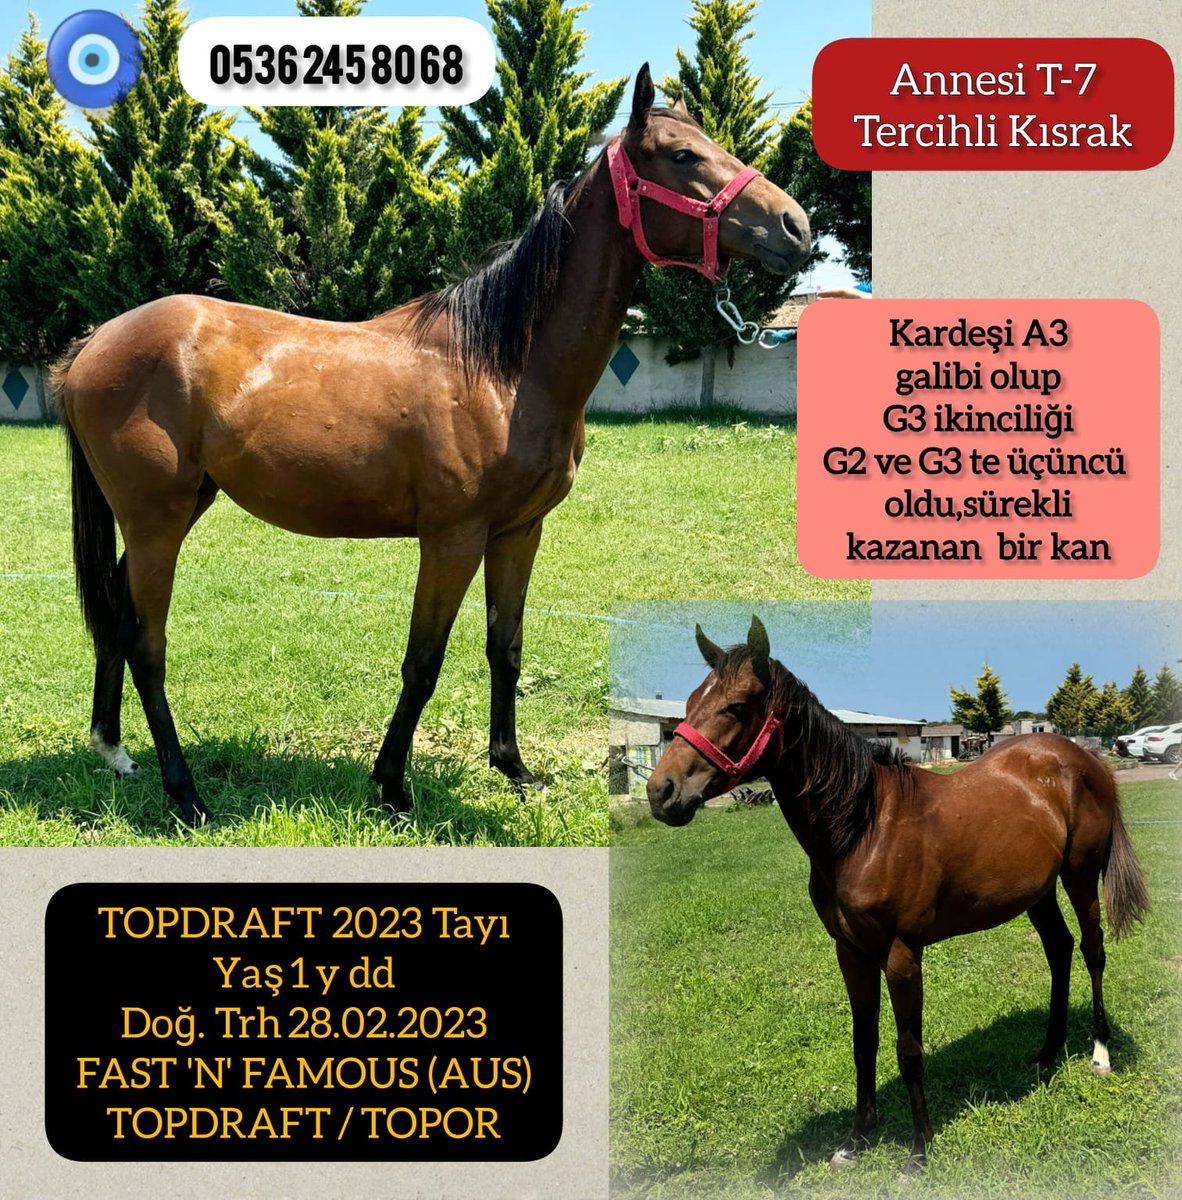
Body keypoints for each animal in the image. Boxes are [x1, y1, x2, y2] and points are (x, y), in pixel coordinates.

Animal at [50, 66, 811, 826]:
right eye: (681, 155)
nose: (795, 226)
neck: (505, 367)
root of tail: (95, 343)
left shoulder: (518, 532)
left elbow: (505, 647)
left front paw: (514, 769)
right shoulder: (452, 537)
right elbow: (424, 661)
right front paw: (391, 785)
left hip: (176, 512)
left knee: (116, 616)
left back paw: (114, 751)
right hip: (157, 522)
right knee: (147, 642)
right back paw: (185, 793)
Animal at [646, 616, 1150, 1175]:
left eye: (735, 706)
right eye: (690, 702)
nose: (661, 792)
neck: (865, 827)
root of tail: (1082, 758)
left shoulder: (902, 954)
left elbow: (909, 1049)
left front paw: (918, 1149)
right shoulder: (851, 952)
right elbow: (863, 1042)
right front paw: (855, 1140)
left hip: (1080, 877)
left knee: (1092, 951)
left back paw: (1099, 1055)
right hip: (1036, 892)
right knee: (1058, 951)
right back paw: (1046, 1054)